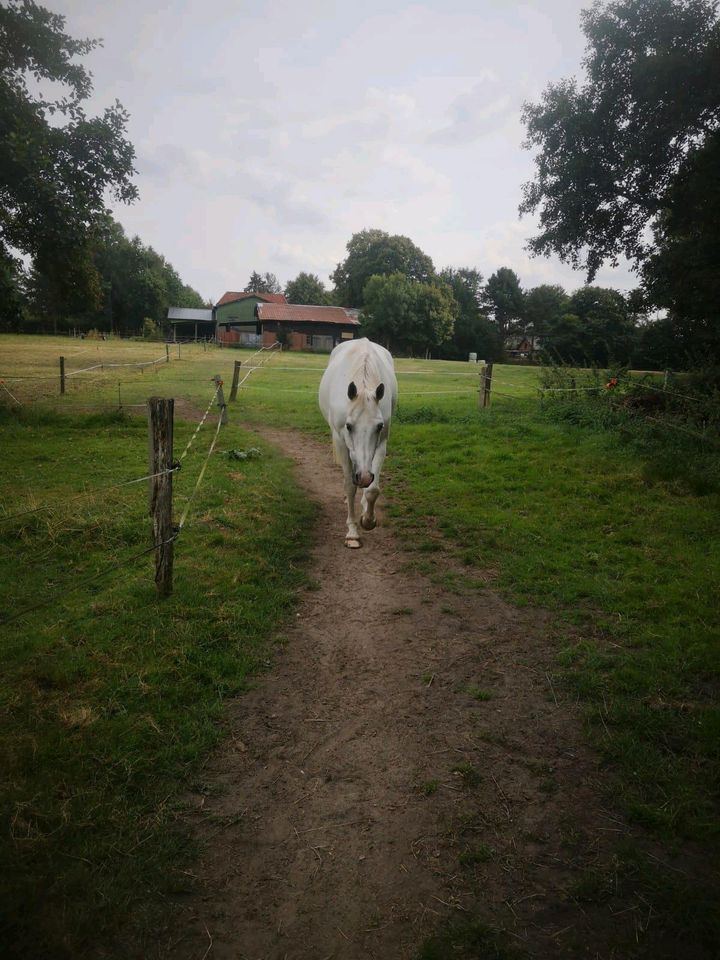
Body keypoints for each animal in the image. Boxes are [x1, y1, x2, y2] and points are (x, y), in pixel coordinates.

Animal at [320, 338, 400, 548]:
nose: (363, 477)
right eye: (349, 426)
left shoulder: (381, 443)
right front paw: (352, 533)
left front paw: (368, 520)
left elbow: (372, 489)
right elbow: (350, 486)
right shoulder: (342, 442)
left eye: (379, 426)